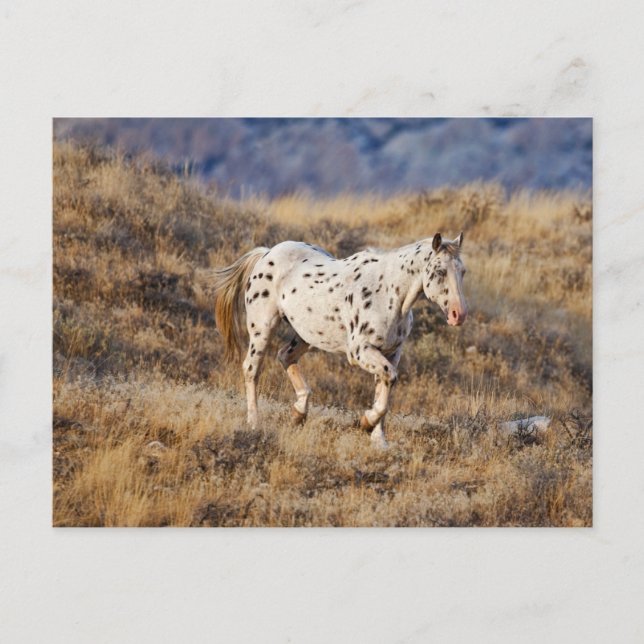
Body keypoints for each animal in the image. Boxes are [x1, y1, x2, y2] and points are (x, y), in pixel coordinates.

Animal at [212, 232, 467, 448]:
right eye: (440, 271)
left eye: (462, 271)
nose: (459, 315)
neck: (388, 292)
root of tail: (267, 253)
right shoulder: (360, 351)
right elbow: (388, 383)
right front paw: (366, 422)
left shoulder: (391, 353)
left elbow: (384, 389)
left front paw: (378, 441)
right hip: (262, 329)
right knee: (251, 369)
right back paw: (254, 423)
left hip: (305, 334)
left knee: (285, 356)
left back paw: (298, 413)